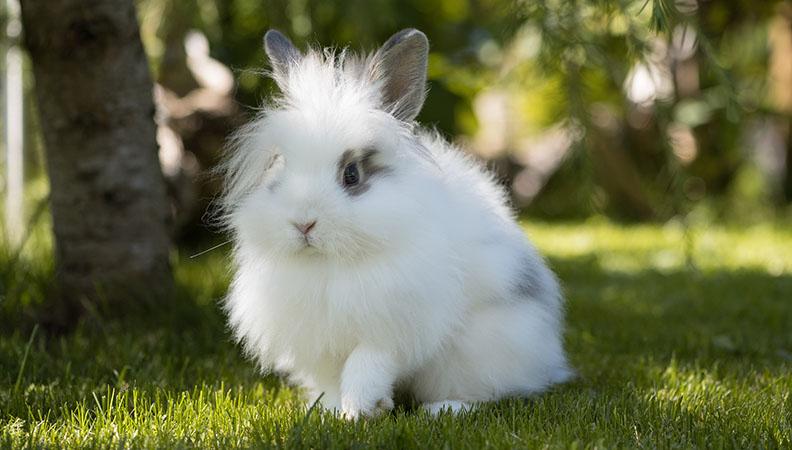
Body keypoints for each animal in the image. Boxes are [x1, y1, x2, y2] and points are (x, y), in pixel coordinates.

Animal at [219, 28, 572, 419]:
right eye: (280, 166)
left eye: (352, 174)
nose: (303, 223)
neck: (329, 265)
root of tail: (547, 360)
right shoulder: (322, 340)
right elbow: (333, 378)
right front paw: (330, 410)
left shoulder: (390, 329)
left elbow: (365, 367)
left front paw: (358, 411)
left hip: (483, 351)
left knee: (494, 392)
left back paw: (444, 409)